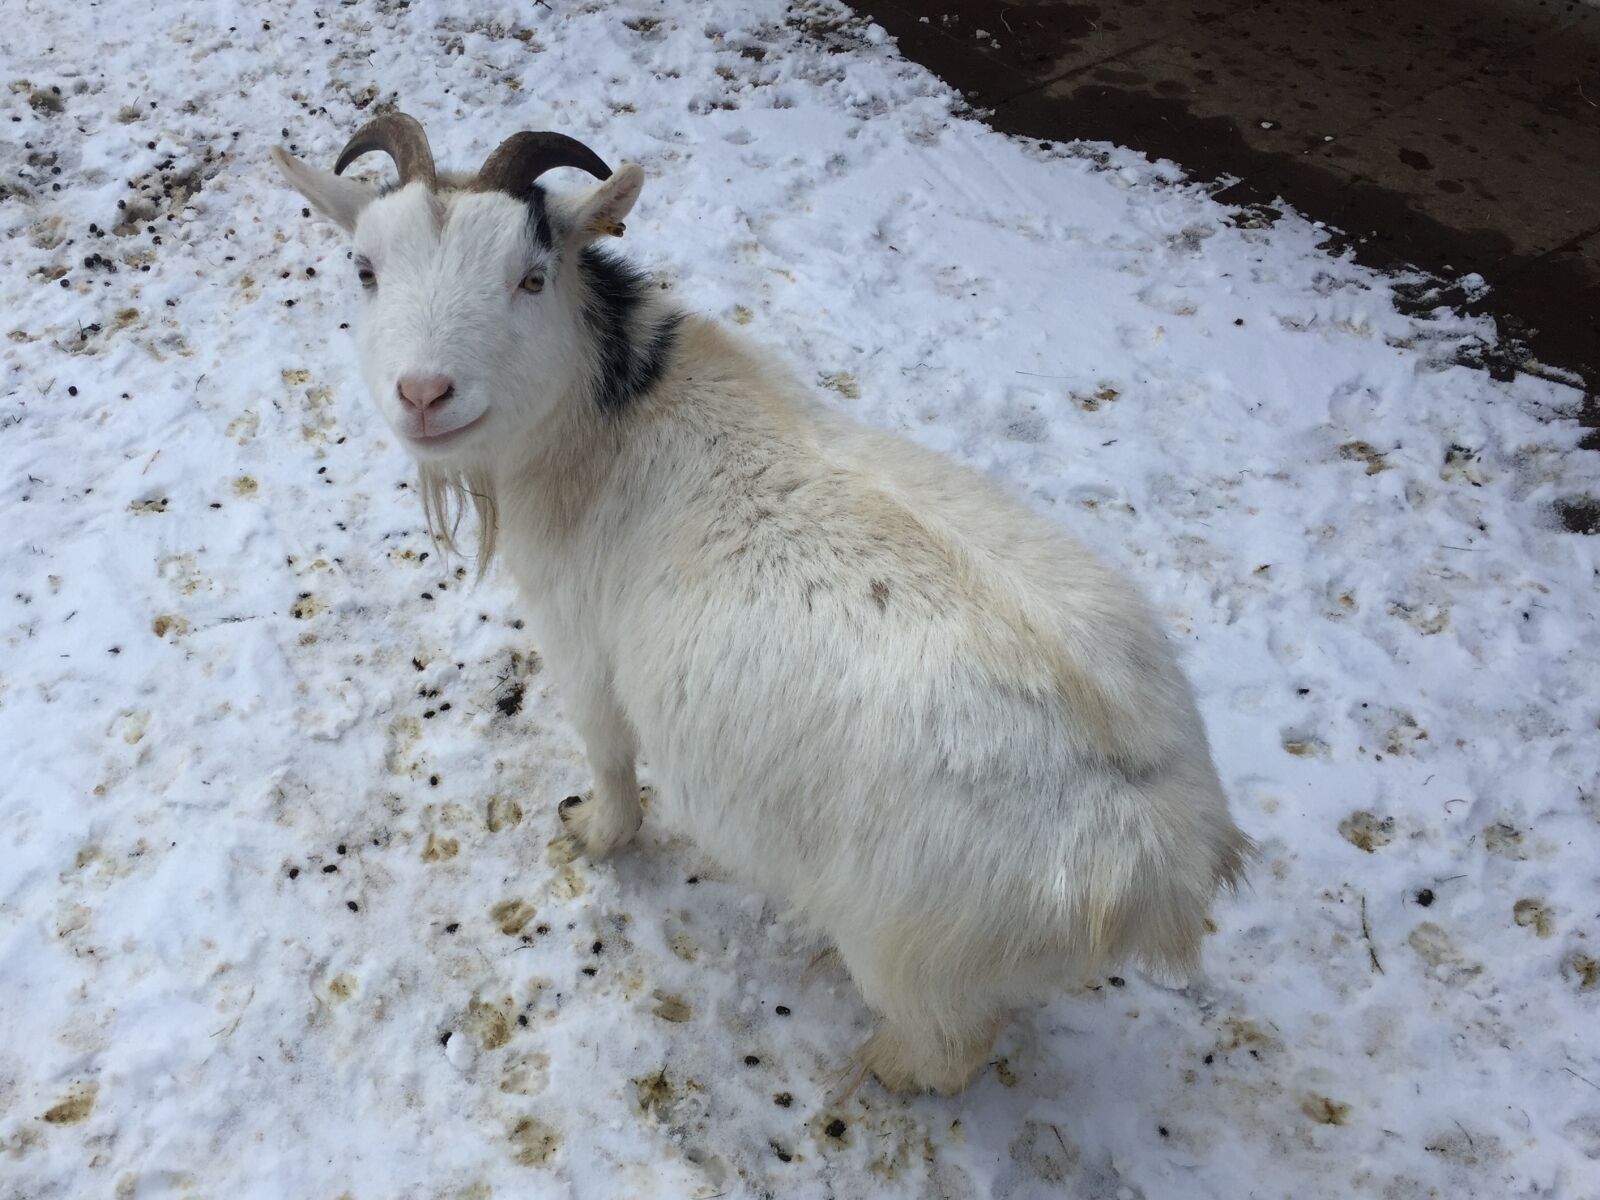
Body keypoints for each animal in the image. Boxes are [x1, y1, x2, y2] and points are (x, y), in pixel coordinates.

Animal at [272, 113, 1252, 1095]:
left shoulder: (583, 651)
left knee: (948, 1048)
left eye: (532, 276)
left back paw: (877, 1068)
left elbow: (610, 761)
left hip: (910, 947)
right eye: (365, 268)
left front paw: (593, 834)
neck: (609, 415)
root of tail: (1166, 852)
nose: (424, 393)